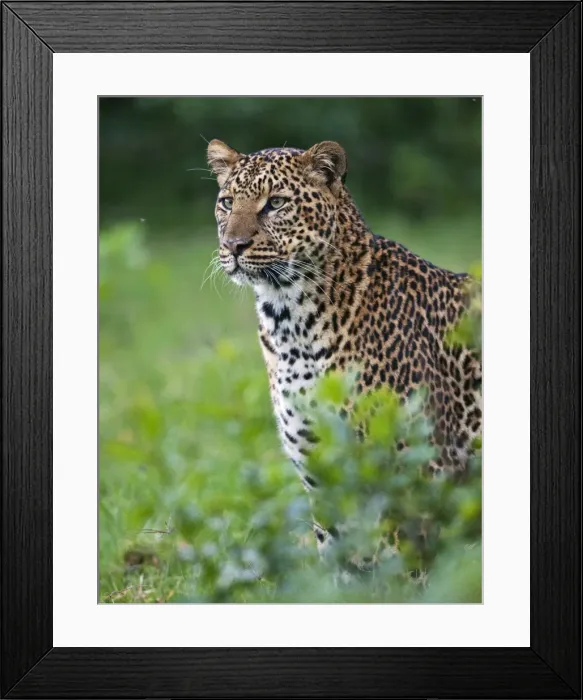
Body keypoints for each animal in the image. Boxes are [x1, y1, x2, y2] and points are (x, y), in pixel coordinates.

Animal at [207, 138, 482, 555]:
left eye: (275, 203)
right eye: (226, 202)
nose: (233, 246)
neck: (291, 323)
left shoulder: (417, 468)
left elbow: (406, 561)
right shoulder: (321, 468)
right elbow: (340, 555)